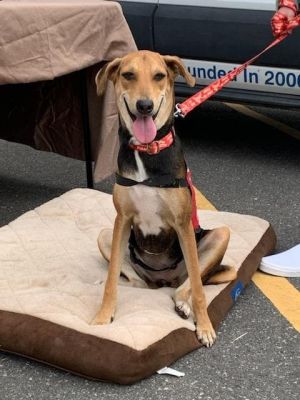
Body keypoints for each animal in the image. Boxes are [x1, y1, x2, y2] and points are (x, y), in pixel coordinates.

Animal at [92, 50, 237, 346]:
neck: (148, 150)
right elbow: (111, 279)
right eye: (128, 75)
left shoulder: (182, 225)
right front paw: (103, 316)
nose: (144, 106)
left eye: (159, 76)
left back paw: (183, 304)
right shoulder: (122, 220)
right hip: (106, 236)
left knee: (187, 285)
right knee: (138, 283)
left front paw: (204, 326)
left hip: (219, 235)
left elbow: (198, 288)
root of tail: (162, 280)